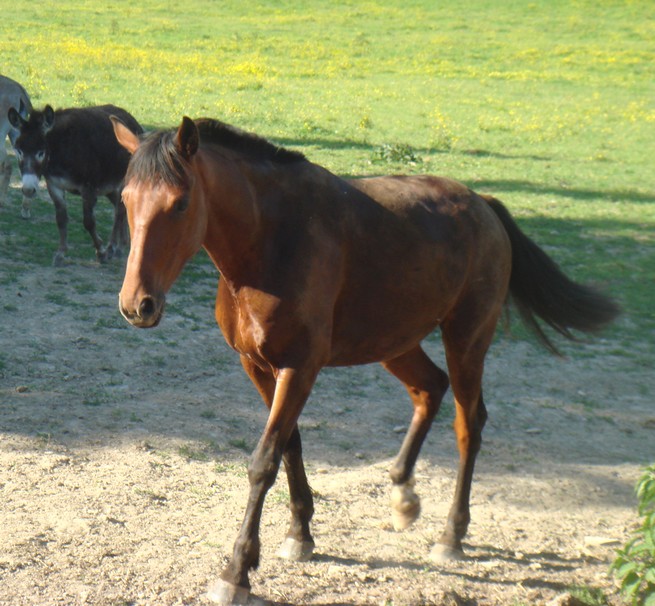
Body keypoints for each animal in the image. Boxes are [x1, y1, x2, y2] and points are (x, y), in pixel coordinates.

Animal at [111, 116, 620, 604]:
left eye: (180, 203)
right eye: (125, 198)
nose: (138, 305)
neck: (272, 238)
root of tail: (482, 204)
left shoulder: (300, 367)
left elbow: (264, 461)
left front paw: (236, 572)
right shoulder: (257, 366)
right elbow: (290, 446)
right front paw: (300, 533)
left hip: (467, 339)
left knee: (468, 423)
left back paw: (451, 535)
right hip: (395, 342)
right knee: (429, 388)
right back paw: (403, 493)